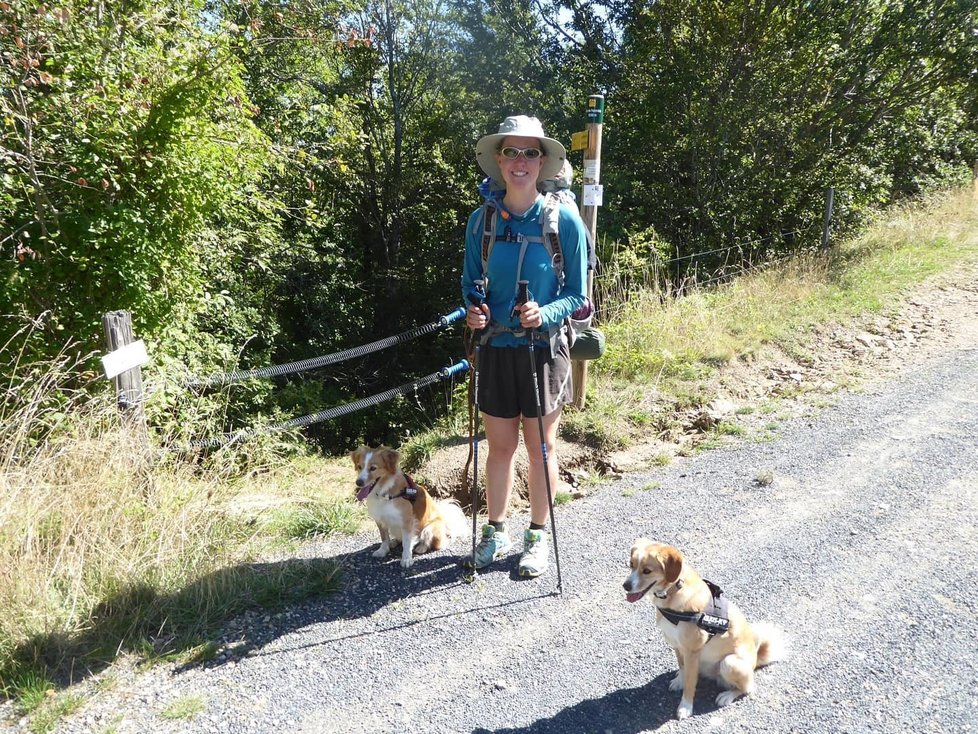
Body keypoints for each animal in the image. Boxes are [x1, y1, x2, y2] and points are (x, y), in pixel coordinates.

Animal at [624, 540, 784, 724]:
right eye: (631, 565)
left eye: (647, 571)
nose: (625, 586)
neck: (674, 589)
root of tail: (755, 661)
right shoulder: (677, 646)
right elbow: (683, 668)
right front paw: (679, 681)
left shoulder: (692, 651)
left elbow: (690, 683)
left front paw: (685, 707)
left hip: (729, 663)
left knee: (748, 687)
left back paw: (727, 696)